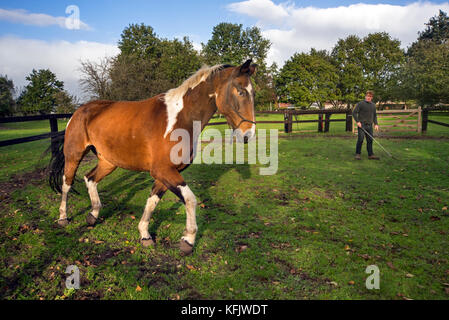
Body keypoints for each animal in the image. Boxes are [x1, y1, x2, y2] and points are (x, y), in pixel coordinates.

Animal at [47, 59, 258, 255]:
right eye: (240, 92)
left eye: (252, 93)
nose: (248, 135)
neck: (180, 119)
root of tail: (78, 112)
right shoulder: (163, 170)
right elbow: (190, 200)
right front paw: (188, 240)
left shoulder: (167, 173)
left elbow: (152, 201)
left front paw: (145, 234)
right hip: (74, 156)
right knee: (67, 183)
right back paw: (63, 218)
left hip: (108, 161)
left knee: (90, 178)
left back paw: (93, 214)